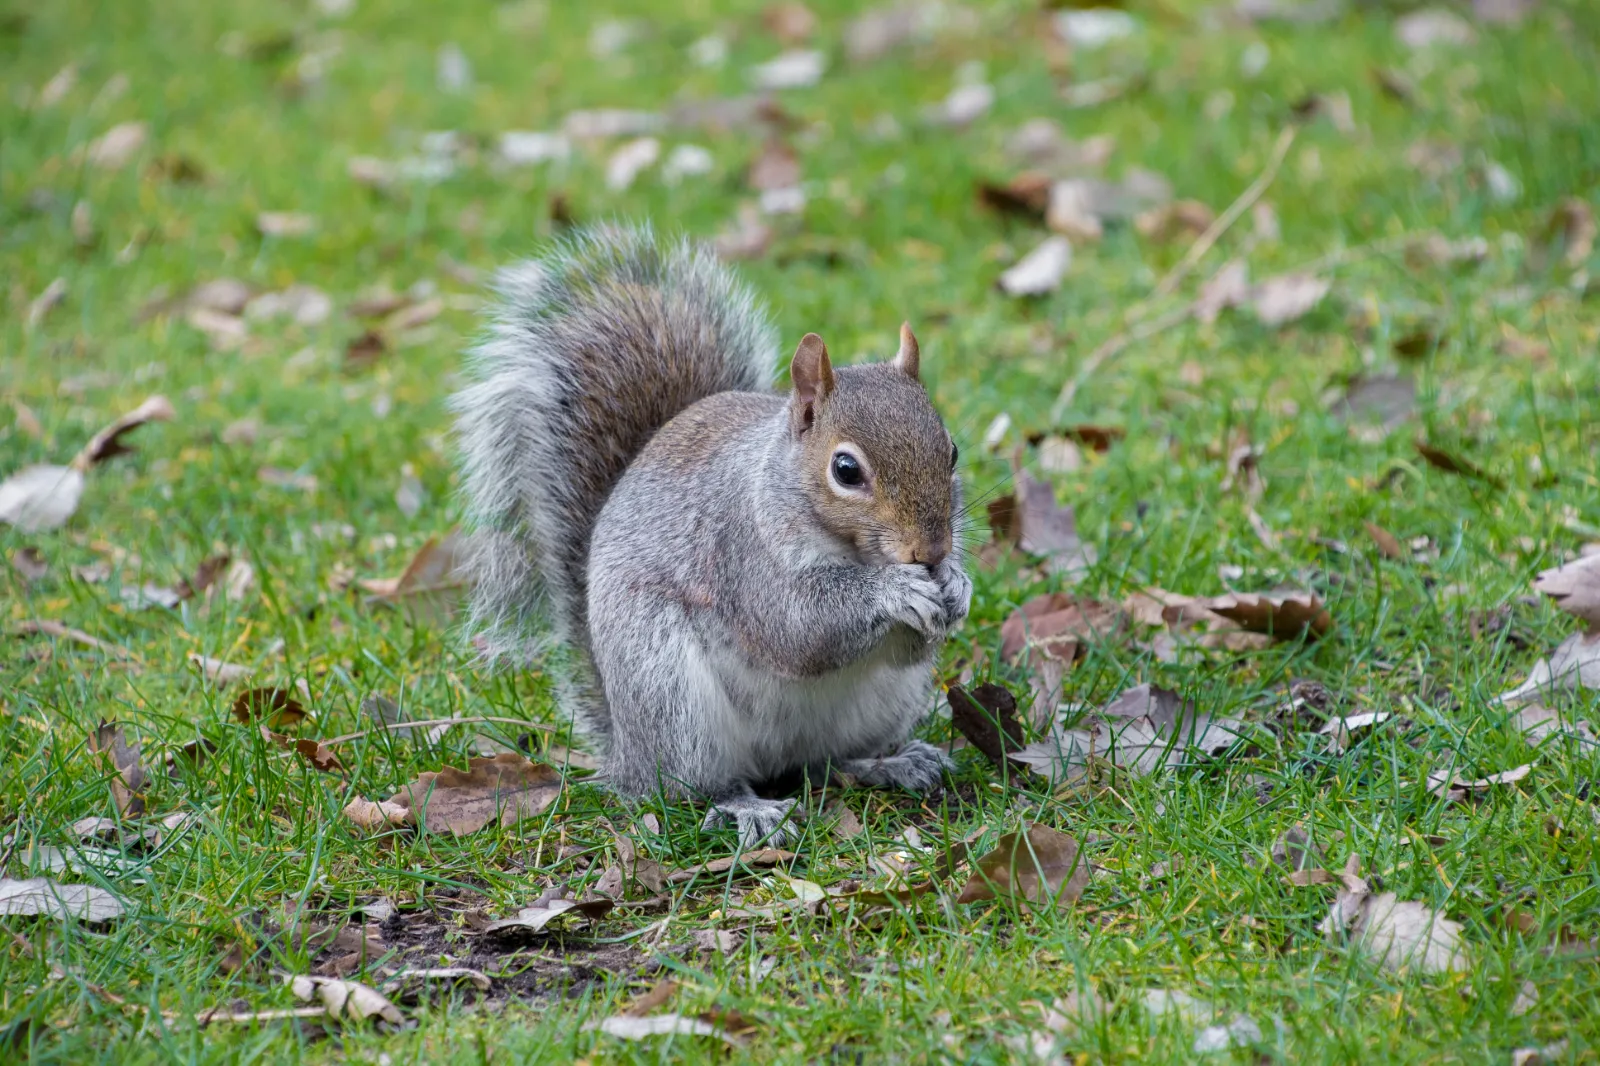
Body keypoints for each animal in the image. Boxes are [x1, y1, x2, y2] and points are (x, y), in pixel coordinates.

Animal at [452, 225, 972, 847]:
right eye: (846, 470)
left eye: (952, 451)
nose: (932, 551)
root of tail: (627, 752)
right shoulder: (741, 551)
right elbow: (798, 628)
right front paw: (896, 591)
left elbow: (908, 644)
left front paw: (957, 585)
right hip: (669, 692)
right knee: (690, 784)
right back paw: (745, 808)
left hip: (882, 704)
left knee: (829, 761)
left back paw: (892, 762)